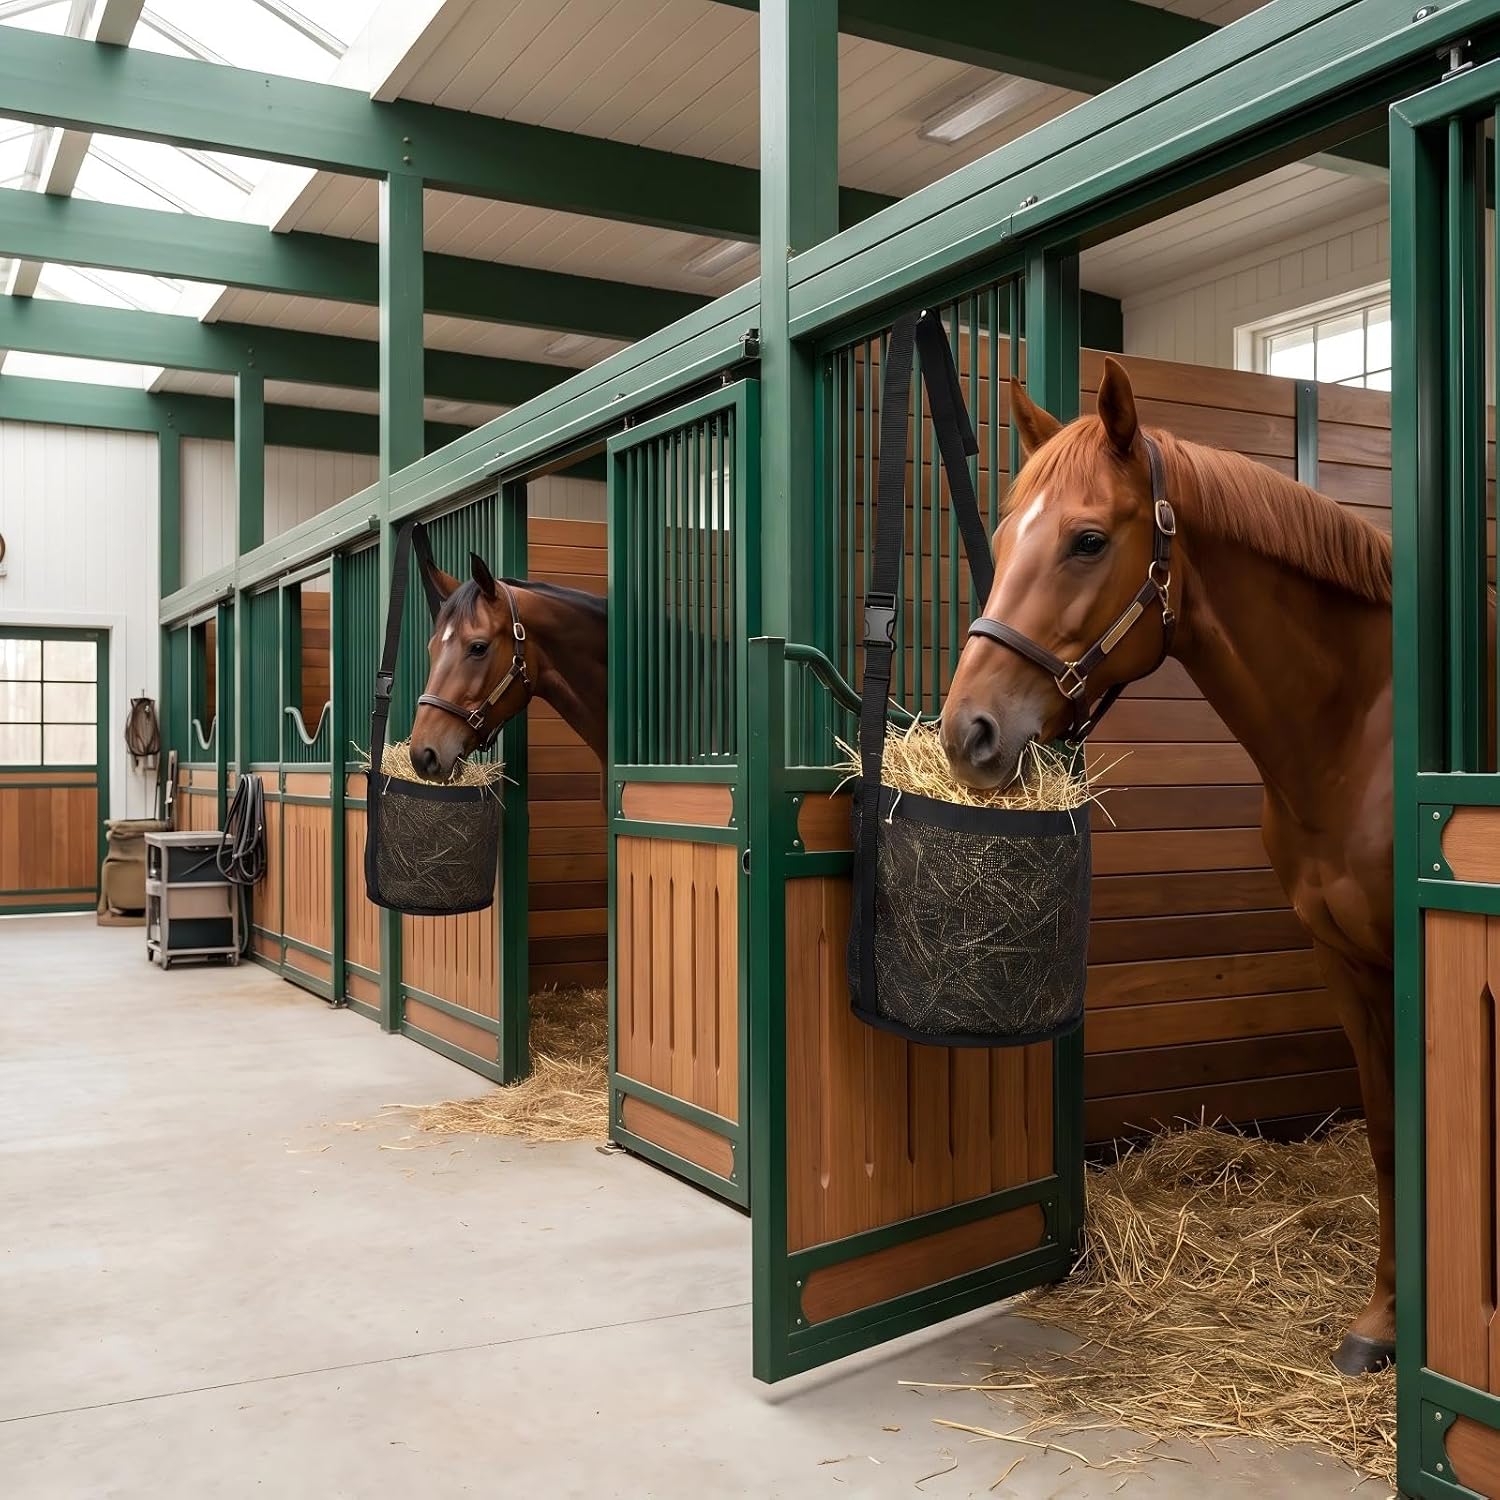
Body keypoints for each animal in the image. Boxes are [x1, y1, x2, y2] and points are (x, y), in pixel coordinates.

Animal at [942, 358, 1395, 1377]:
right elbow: (1392, 1134)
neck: (1364, 729)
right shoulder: (1346, 963)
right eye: (1002, 536)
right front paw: (1384, 1325)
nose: (966, 734)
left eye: (1087, 540)